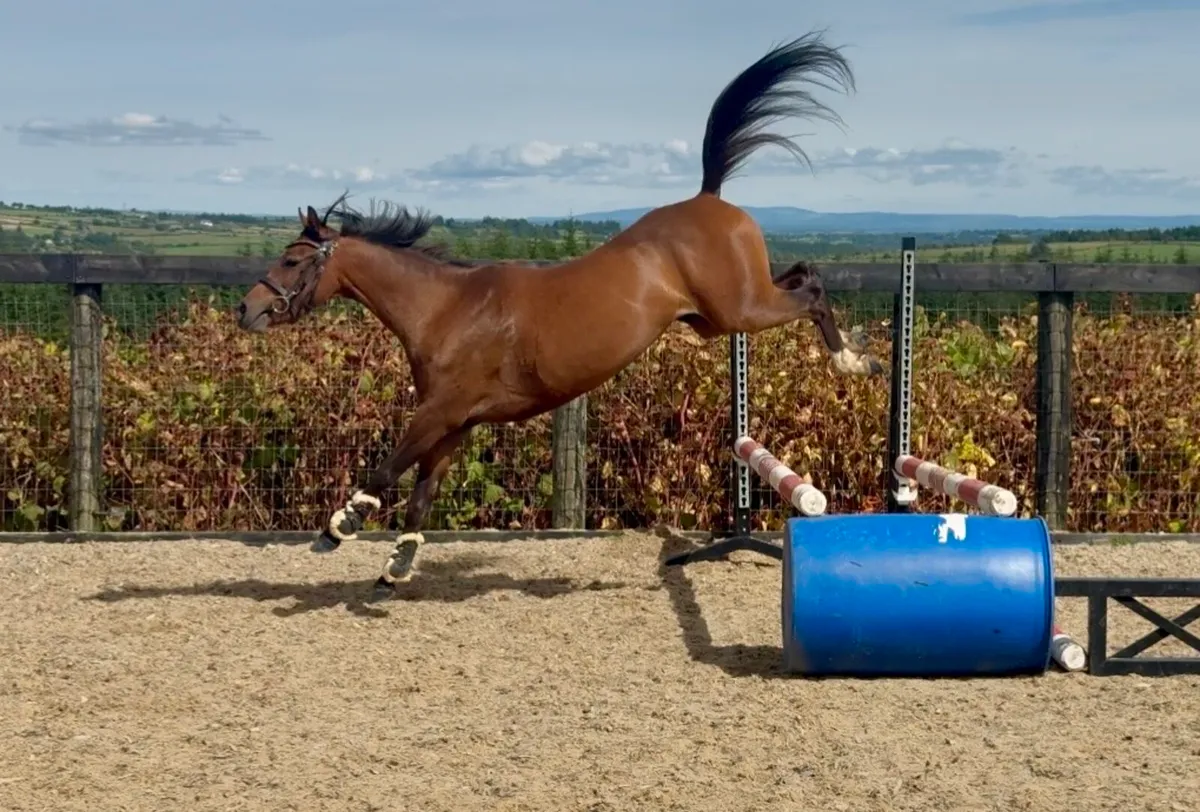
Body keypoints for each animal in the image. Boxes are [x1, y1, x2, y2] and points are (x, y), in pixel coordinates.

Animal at [235, 31, 883, 600]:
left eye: (292, 259)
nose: (247, 309)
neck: (447, 308)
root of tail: (709, 197)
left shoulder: (439, 412)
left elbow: (388, 467)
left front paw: (338, 527)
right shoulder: (456, 421)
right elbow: (421, 491)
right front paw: (395, 569)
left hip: (740, 310)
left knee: (813, 290)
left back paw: (854, 361)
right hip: (724, 314)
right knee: (803, 271)